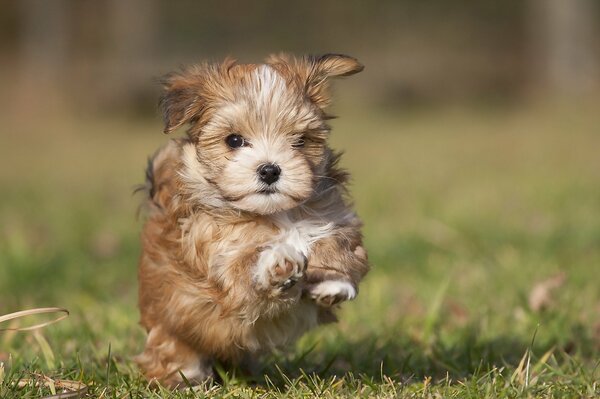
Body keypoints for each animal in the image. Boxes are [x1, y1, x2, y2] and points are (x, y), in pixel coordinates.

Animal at [137, 53, 370, 388]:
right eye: (234, 140)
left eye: (300, 141)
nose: (270, 170)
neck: (276, 213)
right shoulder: (218, 256)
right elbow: (244, 265)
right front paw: (278, 263)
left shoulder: (335, 220)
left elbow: (339, 247)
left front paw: (333, 282)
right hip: (170, 325)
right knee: (172, 351)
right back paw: (186, 380)